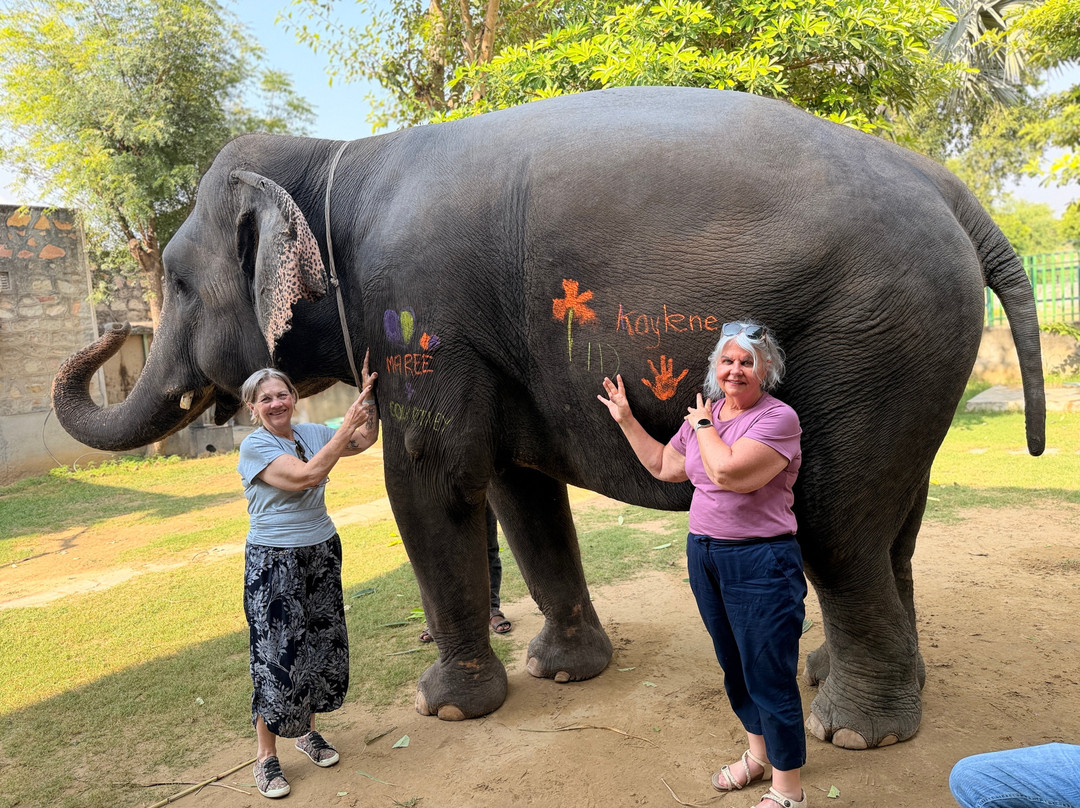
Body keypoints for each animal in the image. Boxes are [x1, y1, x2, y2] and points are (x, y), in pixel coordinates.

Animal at [53, 86, 1045, 750]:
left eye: (178, 282)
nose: (108, 339)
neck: (332, 161)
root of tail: (952, 191)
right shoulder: (492, 349)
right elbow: (517, 490)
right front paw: (562, 673)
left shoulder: (423, 311)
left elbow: (432, 480)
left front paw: (447, 705)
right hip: (911, 355)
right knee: (894, 525)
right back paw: (843, 683)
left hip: (878, 333)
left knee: (836, 523)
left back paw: (855, 733)